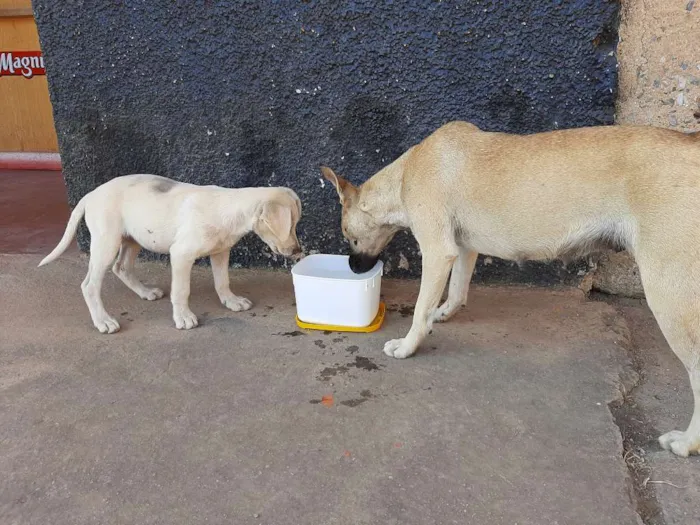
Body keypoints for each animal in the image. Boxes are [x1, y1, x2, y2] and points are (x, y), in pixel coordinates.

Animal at [38, 175, 300, 332]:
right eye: (290, 225)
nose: (298, 251)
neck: (230, 209)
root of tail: (90, 195)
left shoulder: (220, 252)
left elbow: (222, 281)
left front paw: (231, 300)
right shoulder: (181, 255)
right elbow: (181, 290)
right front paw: (183, 317)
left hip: (133, 239)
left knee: (121, 268)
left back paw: (146, 292)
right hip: (106, 243)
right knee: (89, 285)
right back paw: (103, 321)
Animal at [322, 121, 700, 456]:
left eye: (348, 236)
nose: (353, 268)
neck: (404, 175)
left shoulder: (437, 251)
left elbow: (419, 309)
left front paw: (408, 344)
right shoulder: (463, 249)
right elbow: (456, 291)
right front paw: (441, 314)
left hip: (669, 297)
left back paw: (687, 443)